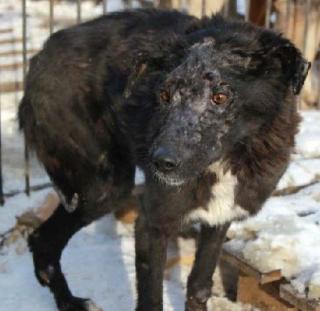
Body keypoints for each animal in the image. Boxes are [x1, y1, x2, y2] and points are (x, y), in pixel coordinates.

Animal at [18, 9, 310, 311]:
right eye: (164, 94)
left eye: (220, 96)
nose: (161, 162)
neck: (227, 159)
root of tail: (40, 54)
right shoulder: (152, 223)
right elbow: (151, 299)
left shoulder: (219, 218)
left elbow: (199, 286)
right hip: (103, 186)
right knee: (43, 240)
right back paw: (71, 303)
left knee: (41, 239)